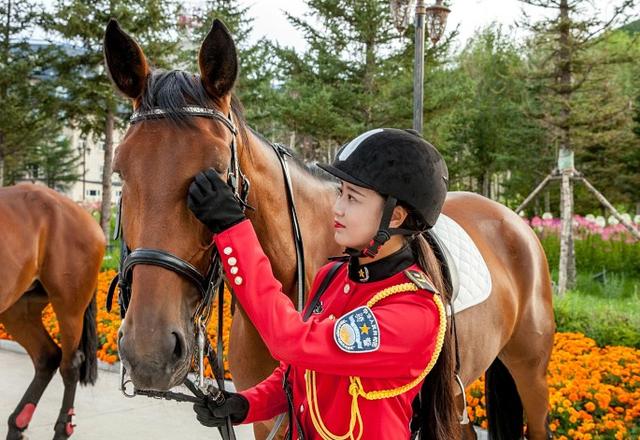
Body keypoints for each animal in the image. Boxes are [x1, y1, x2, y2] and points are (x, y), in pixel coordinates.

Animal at [105, 18, 556, 438]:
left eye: (215, 173)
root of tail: (514, 222)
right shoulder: (268, 420)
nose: (149, 351)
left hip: (531, 374)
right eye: (120, 170)